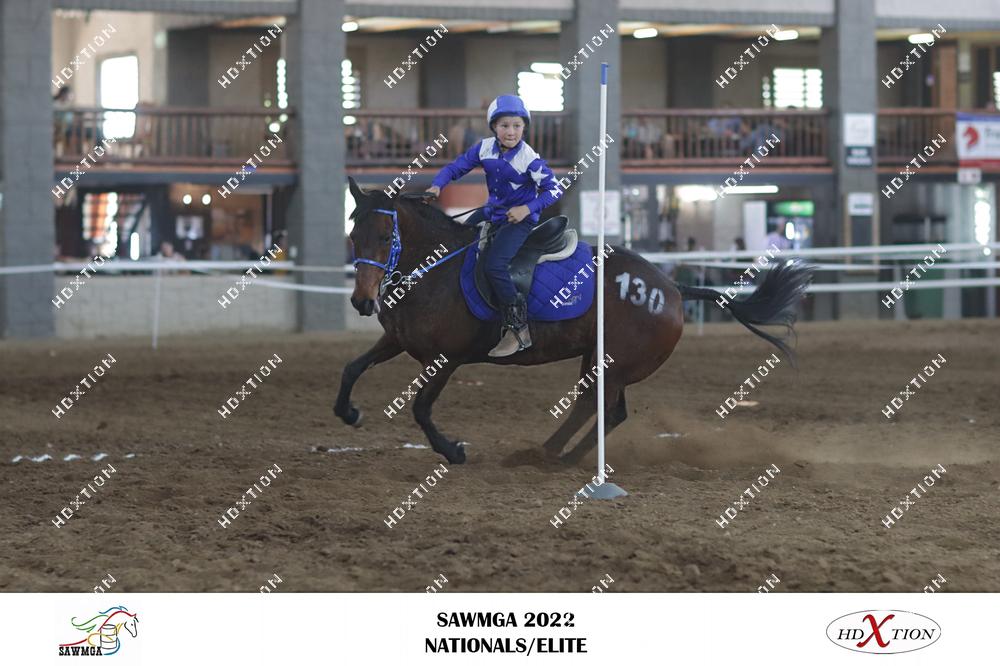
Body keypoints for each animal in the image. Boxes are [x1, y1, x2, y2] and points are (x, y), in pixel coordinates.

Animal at [335, 177, 814, 465]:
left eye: (385, 236)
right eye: (353, 235)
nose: (361, 301)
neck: (436, 270)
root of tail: (674, 290)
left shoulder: (447, 359)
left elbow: (420, 407)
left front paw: (453, 451)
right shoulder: (396, 341)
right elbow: (352, 368)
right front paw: (350, 412)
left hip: (613, 363)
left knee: (598, 406)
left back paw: (550, 454)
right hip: (598, 358)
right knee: (608, 410)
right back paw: (555, 455)